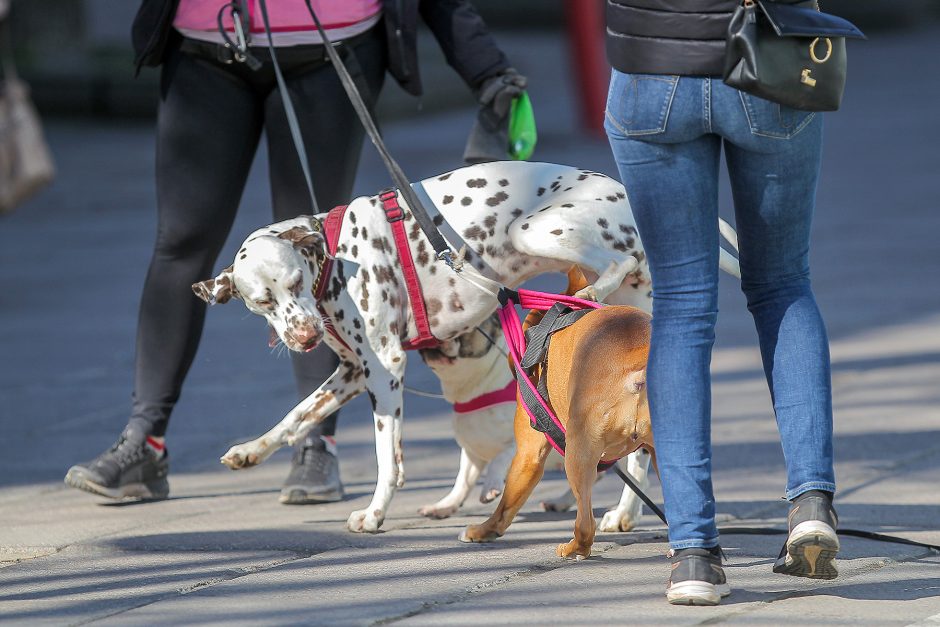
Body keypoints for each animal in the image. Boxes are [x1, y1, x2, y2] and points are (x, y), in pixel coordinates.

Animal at [460, 270, 656, 560]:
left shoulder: (528, 454)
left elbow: (506, 505)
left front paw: (484, 531)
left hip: (578, 453)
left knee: (586, 525)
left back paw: (573, 548)